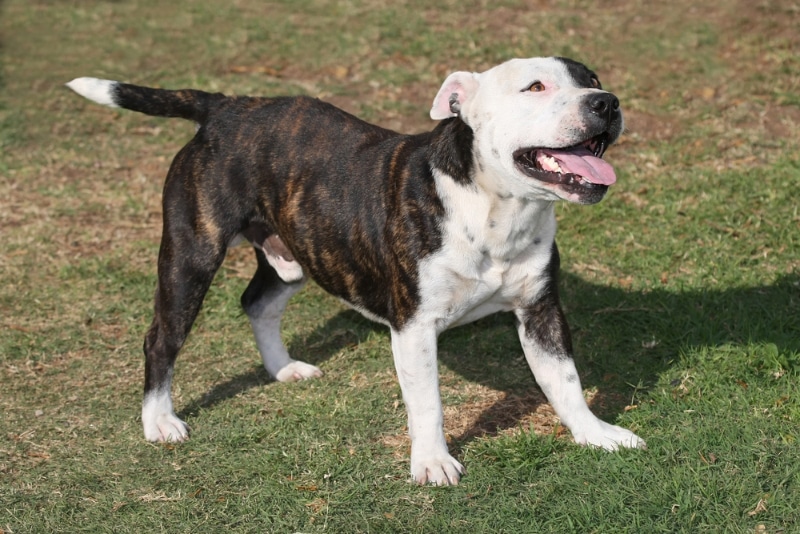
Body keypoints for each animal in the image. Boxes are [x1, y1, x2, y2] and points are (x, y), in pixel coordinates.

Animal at [67, 56, 644, 488]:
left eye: (592, 79)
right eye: (536, 86)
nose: (606, 102)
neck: (493, 207)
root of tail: (228, 106)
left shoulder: (540, 312)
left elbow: (564, 381)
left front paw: (595, 433)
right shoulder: (415, 328)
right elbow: (427, 403)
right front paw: (432, 462)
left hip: (293, 255)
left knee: (257, 303)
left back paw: (282, 369)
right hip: (192, 256)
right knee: (161, 339)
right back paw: (159, 420)